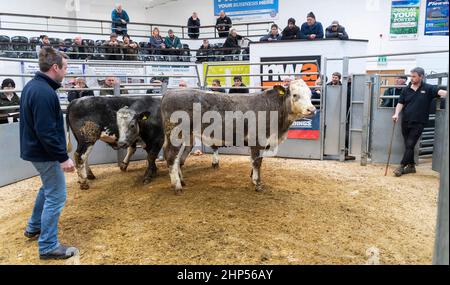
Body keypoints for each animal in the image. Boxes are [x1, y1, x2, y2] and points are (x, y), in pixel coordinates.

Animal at [162, 79, 316, 193]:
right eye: (295, 95)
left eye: (310, 95)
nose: (312, 109)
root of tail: (168, 93)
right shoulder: (257, 140)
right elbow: (257, 162)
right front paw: (257, 183)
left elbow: (255, 161)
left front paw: (252, 178)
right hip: (175, 134)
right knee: (171, 156)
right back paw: (177, 186)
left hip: (186, 136)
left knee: (178, 158)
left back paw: (182, 181)